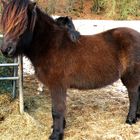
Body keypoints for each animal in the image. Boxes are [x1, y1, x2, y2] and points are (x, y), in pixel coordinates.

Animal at [0, 0, 140, 139]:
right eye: (5, 21)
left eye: (22, 24)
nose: (6, 49)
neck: (50, 45)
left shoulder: (57, 86)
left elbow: (57, 110)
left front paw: (56, 134)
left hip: (131, 78)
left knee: (133, 95)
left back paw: (130, 119)